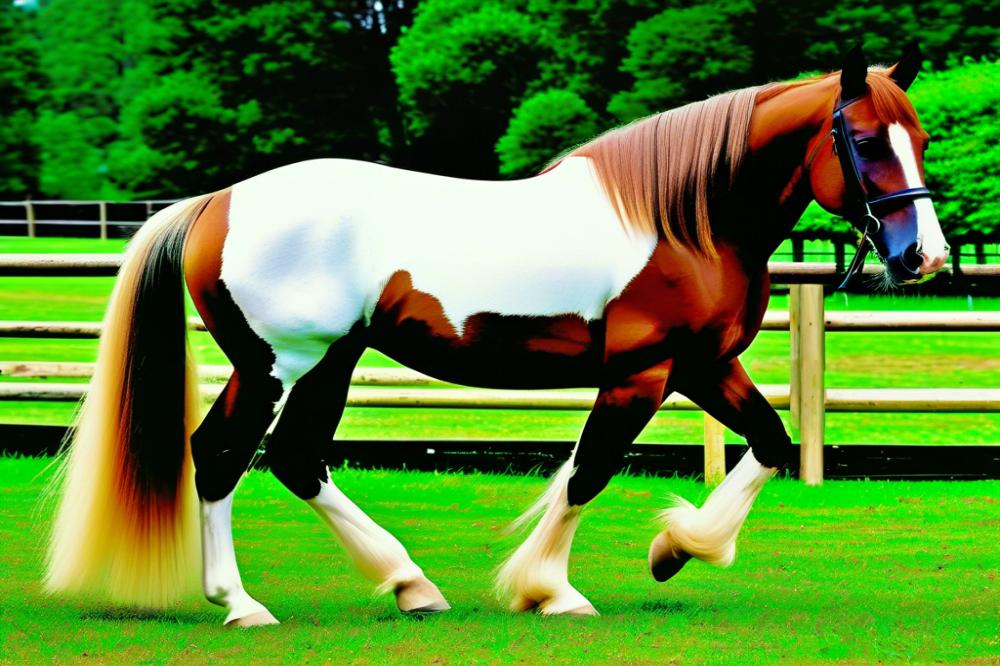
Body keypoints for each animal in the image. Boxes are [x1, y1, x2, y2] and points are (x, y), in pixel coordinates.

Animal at [47, 45, 948, 624]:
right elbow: (587, 473)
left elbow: (770, 443)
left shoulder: (702, 366)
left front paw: (675, 547)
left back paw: (409, 585)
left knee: (296, 459)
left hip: (329, 362)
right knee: (223, 454)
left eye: (923, 137)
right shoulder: (641, 374)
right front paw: (550, 590)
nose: (927, 257)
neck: (681, 217)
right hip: (280, 363)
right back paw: (243, 605)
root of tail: (219, 201)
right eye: (864, 139)